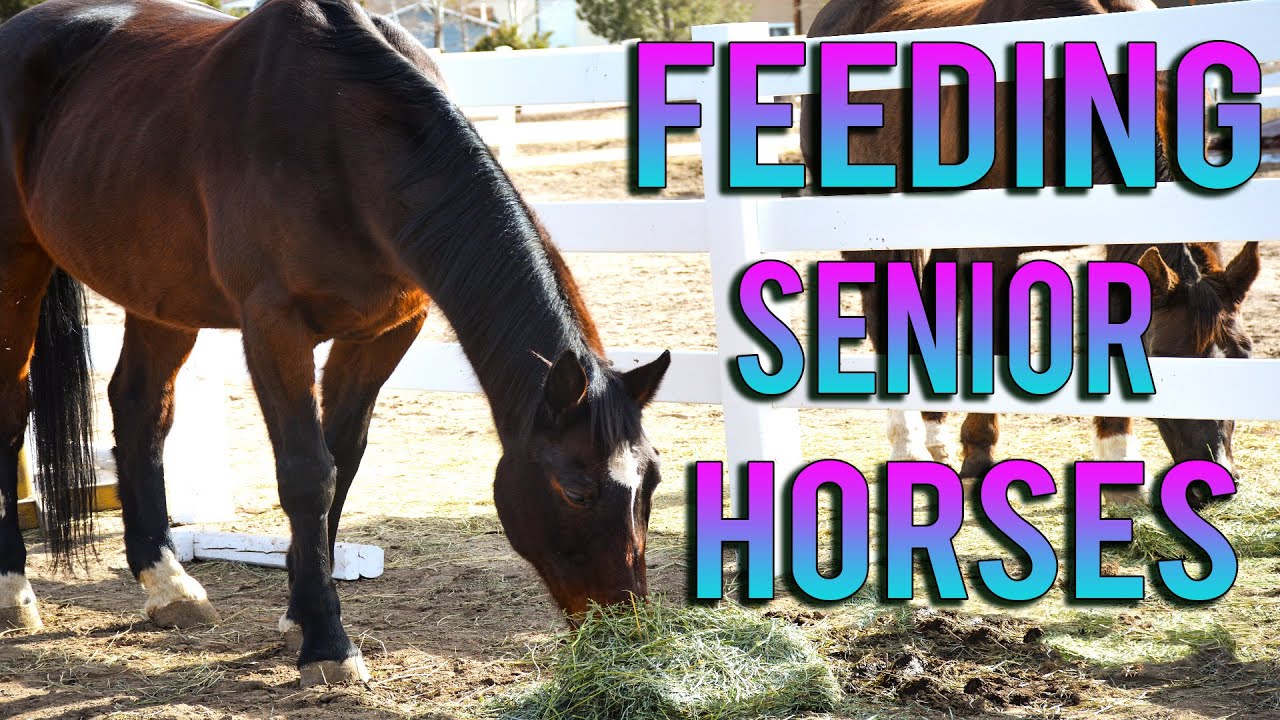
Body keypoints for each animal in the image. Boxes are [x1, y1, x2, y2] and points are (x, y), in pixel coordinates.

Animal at [0, 0, 671, 686]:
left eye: (651, 484)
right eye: (577, 491)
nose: (625, 626)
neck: (347, 136)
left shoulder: (386, 333)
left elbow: (341, 463)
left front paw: (300, 611)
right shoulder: (273, 327)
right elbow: (305, 473)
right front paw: (327, 642)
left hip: (160, 293)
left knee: (138, 412)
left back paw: (168, 586)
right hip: (17, 266)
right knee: (11, 412)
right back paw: (14, 590)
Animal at [800, 0, 1260, 505]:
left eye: (1242, 359)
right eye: (1173, 364)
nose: (1219, 483)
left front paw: (1116, 456)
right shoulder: (994, 246)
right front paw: (980, 453)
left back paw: (935, 435)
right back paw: (909, 444)